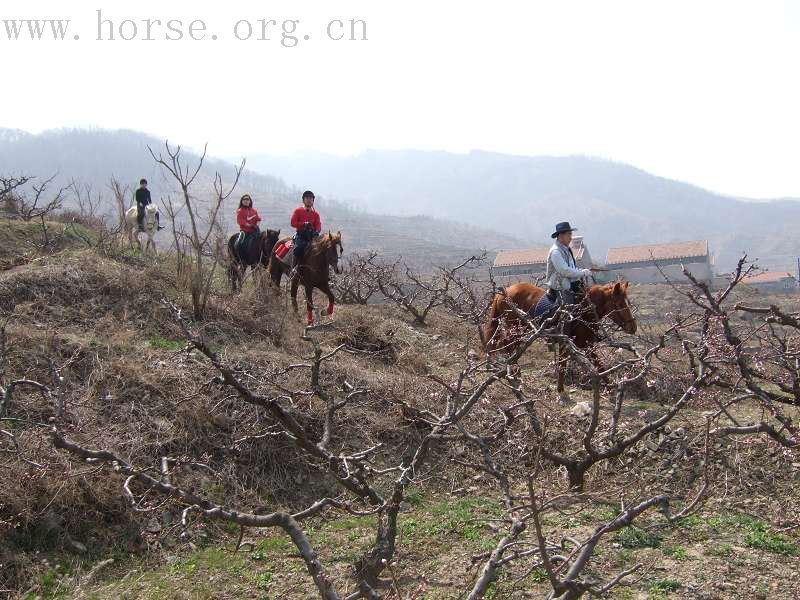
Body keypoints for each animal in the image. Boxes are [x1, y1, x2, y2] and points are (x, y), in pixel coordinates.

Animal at [482, 282, 636, 398]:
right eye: (619, 304)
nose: (633, 327)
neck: (584, 310)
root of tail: (504, 292)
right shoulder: (572, 344)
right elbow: (565, 365)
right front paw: (561, 390)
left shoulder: (585, 345)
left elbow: (598, 365)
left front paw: (610, 388)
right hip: (516, 328)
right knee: (506, 345)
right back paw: (514, 372)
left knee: (508, 346)